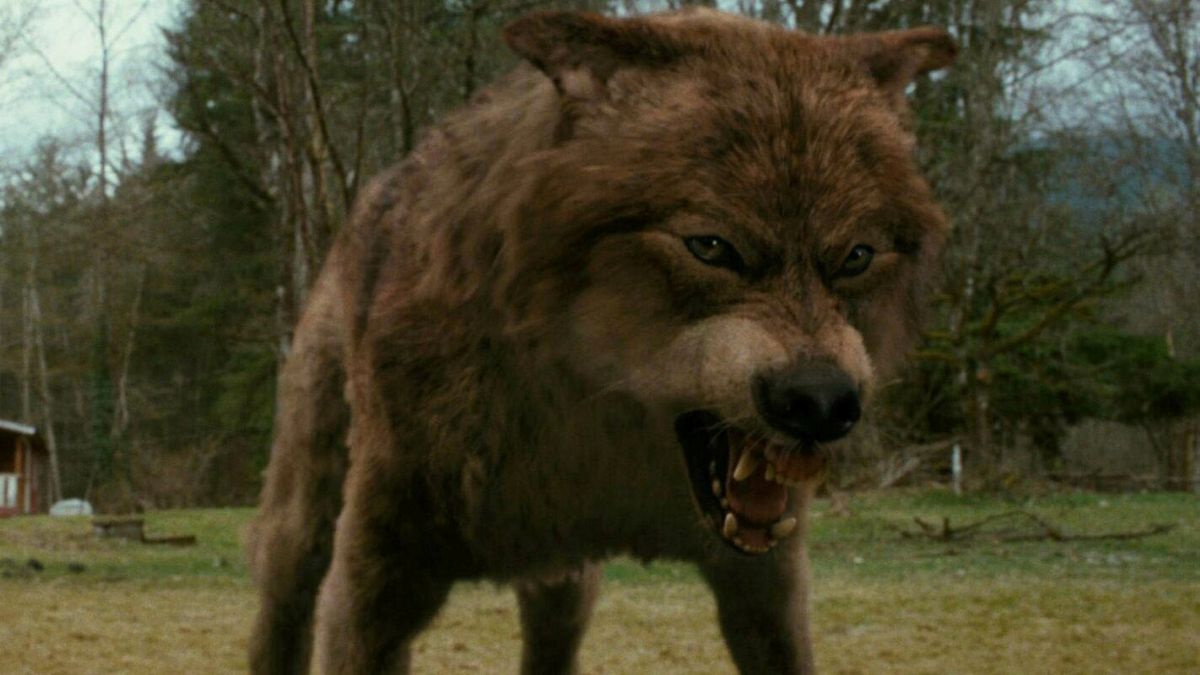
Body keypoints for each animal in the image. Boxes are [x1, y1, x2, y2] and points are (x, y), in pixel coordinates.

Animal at [248, 8, 955, 674]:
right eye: (712, 247)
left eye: (857, 257)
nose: (821, 403)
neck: (596, 425)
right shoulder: (376, 592)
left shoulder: (765, 586)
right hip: (302, 529)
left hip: (566, 588)